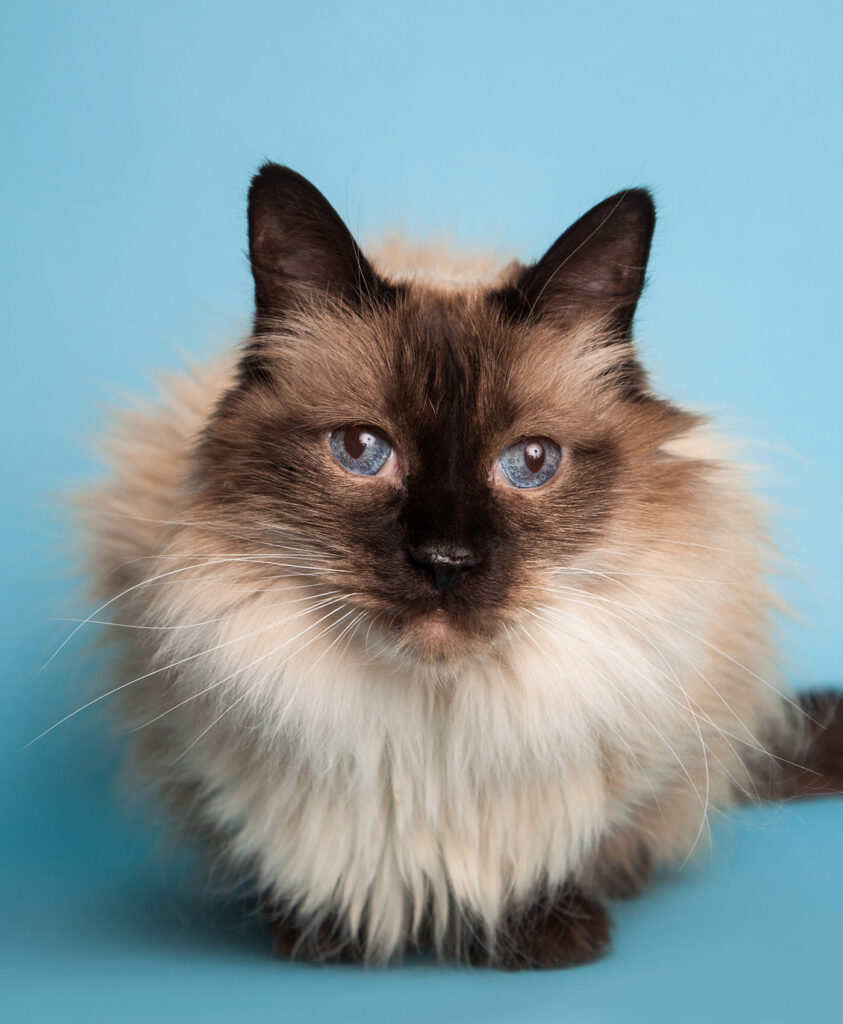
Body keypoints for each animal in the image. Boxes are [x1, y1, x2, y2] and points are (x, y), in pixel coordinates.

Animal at [77, 161, 843, 966]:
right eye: (361, 450)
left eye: (531, 462)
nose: (445, 561)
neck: (432, 734)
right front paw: (324, 934)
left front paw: (542, 931)